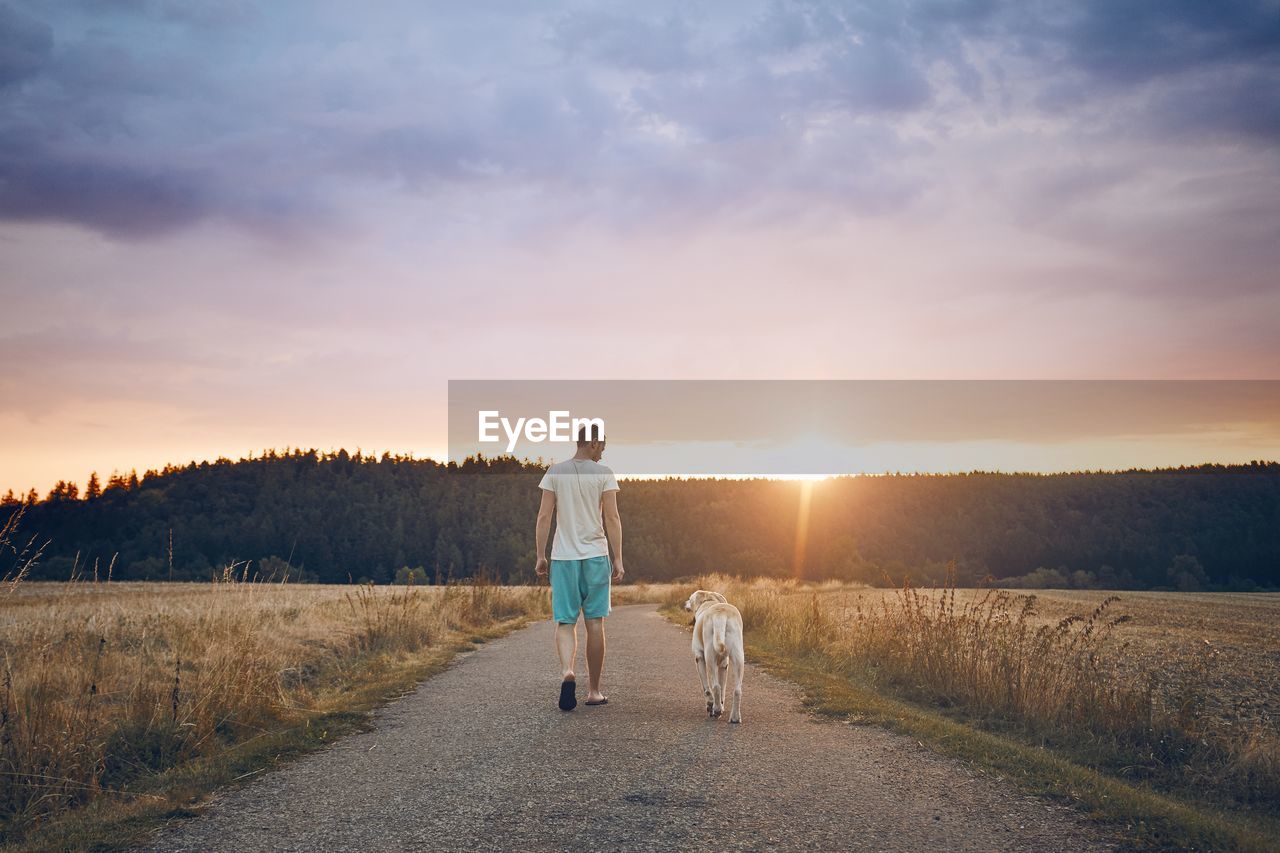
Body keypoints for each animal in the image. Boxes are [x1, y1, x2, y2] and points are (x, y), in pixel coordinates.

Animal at [686, 589, 747, 722]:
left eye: (690, 598)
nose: (685, 602)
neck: (709, 601)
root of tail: (721, 614)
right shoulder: (724, 665)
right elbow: (723, 687)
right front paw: (721, 706)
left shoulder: (699, 658)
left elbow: (706, 688)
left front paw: (711, 705)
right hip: (738, 658)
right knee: (737, 690)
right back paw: (735, 717)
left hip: (710, 658)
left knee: (715, 687)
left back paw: (717, 710)